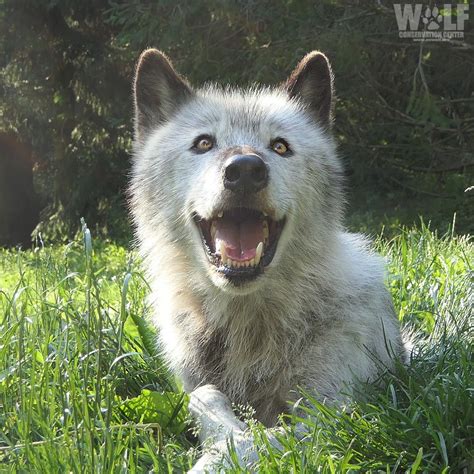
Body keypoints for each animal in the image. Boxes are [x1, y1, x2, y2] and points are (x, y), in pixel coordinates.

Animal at [129, 46, 404, 468]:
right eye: (203, 143)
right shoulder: (197, 383)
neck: (250, 323)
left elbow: (250, 441)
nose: (245, 169)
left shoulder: (335, 418)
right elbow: (204, 399)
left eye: (280, 147)